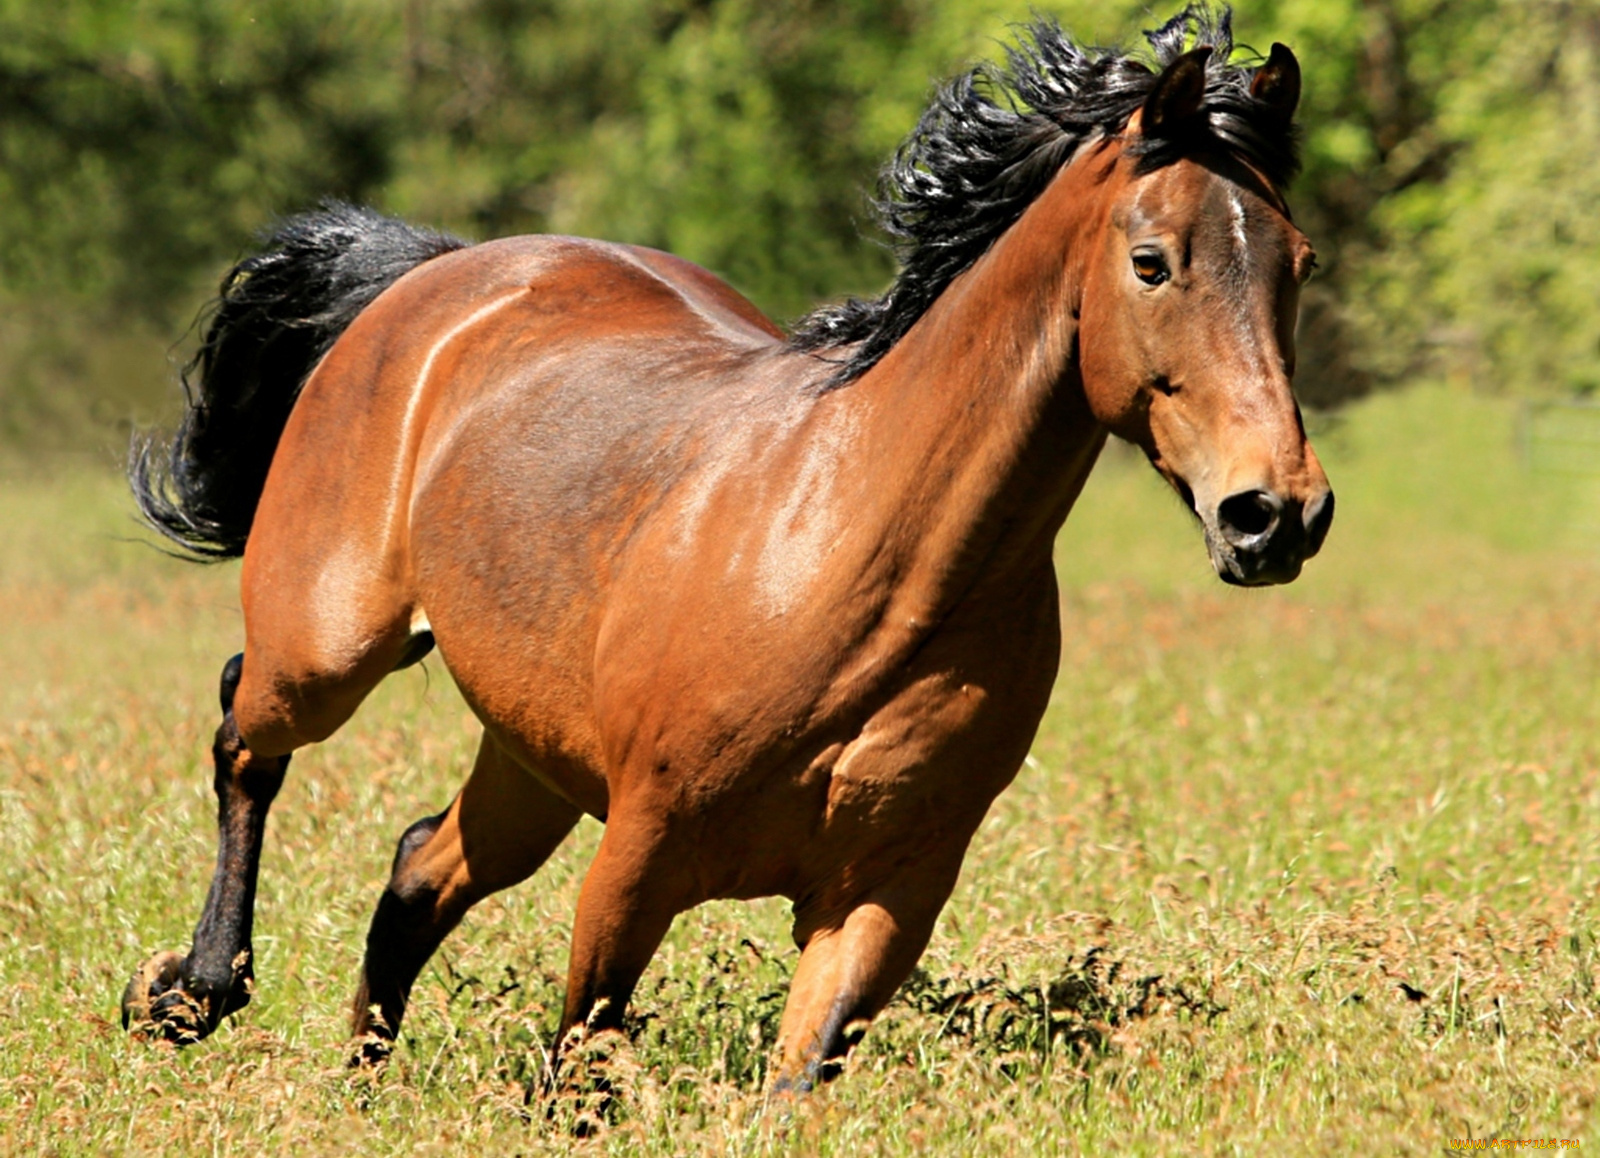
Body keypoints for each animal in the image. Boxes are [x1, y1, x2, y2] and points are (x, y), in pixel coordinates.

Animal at [118, 9, 1331, 1094]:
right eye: (1151, 262)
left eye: (1300, 265)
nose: (1274, 516)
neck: (863, 571)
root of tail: (438, 274)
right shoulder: (639, 860)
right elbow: (578, 1070)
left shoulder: (883, 897)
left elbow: (791, 1084)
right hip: (330, 652)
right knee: (243, 730)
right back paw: (187, 994)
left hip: (528, 753)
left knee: (420, 869)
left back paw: (358, 1082)